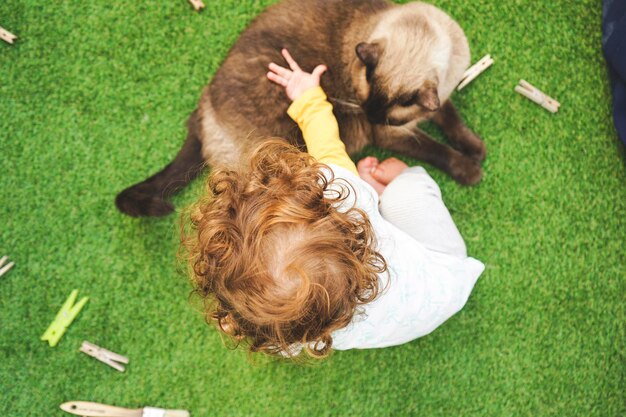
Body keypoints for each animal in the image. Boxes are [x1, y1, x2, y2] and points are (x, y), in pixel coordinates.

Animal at [114, 0, 486, 216]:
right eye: (369, 112)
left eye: (380, 113)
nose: (366, 115)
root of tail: (203, 108)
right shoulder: (389, 135)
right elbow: (435, 149)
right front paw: (471, 169)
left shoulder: (439, 97)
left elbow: (451, 120)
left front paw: (476, 148)